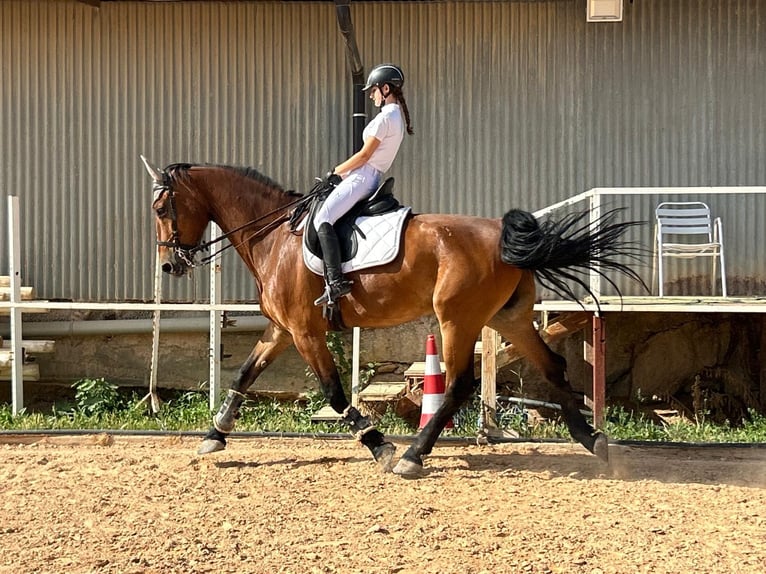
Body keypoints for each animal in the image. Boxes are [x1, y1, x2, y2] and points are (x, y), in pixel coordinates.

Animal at [140, 157, 643, 477]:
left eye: (162, 208)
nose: (168, 266)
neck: (275, 237)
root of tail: (500, 236)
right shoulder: (282, 329)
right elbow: (245, 373)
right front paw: (216, 434)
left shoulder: (305, 332)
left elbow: (334, 392)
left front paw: (378, 444)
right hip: (507, 319)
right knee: (552, 366)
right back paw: (594, 441)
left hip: (456, 320)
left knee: (459, 386)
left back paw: (412, 457)